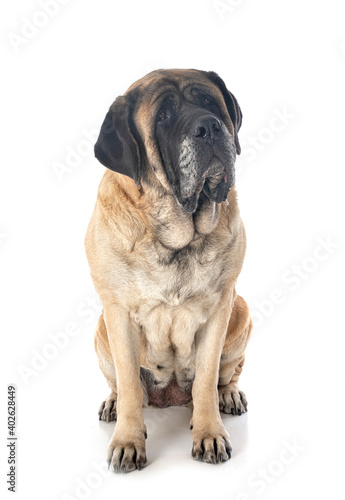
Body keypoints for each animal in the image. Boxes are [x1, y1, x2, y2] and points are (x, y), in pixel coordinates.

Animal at [85, 69, 253, 472]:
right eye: (163, 117)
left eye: (209, 103)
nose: (209, 126)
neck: (176, 235)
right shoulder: (117, 313)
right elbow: (130, 384)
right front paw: (128, 441)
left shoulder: (221, 307)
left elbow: (207, 377)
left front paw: (209, 434)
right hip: (100, 329)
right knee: (119, 384)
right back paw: (113, 404)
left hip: (241, 312)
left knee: (227, 374)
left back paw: (229, 396)